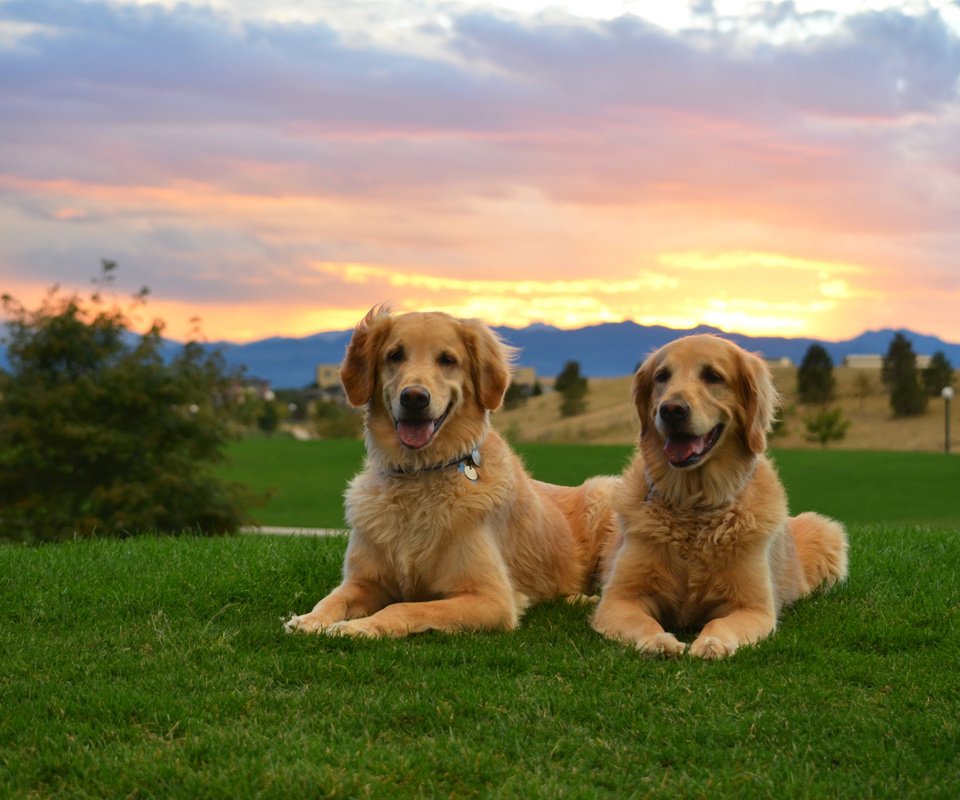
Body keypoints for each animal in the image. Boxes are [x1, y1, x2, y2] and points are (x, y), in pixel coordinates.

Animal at [284, 306, 616, 636]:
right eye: (395, 355)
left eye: (447, 360)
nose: (414, 397)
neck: (419, 473)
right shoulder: (363, 581)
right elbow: (333, 599)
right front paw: (309, 620)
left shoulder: (491, 598)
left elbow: (403, 606)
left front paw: (358, 628)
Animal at [592, 334, 848, 660]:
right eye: (662, 376)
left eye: (713, 376)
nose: (671, 409)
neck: (694, 504)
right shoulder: (619, 598)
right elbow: (641, 621)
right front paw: (659, 641)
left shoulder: (753, 606)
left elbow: (720, 623)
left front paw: (711, 643)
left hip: (824, 530)